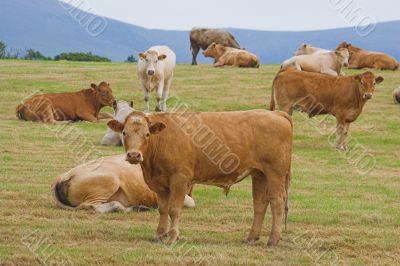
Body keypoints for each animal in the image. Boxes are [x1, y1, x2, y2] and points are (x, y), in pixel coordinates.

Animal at [108, 109, 292, 246]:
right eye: (124, 133)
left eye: (147, 134)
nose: (133, 155)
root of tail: (276, 113)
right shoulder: (160, 184)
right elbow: (163, 209)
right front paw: (160, 235)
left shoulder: (179, 179)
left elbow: (174, 209)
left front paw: (173, 236)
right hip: (259, 174)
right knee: (260, 203)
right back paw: (251, 237)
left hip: (275, 172)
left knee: (277, 201)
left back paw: (273, 239)